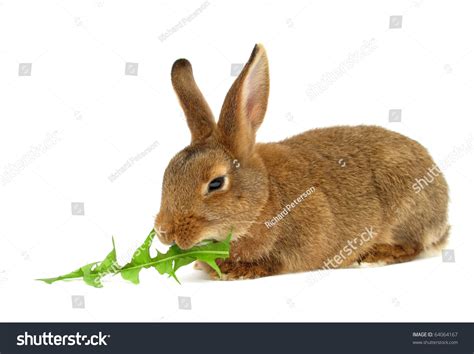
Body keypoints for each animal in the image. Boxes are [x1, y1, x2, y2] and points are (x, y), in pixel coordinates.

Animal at [154, 43, 450, 280]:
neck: (265, 197)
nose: (164, 231)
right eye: (167, 174)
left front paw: (239, 271)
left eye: (215, 183)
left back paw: (375, 255)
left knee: (413, 245)